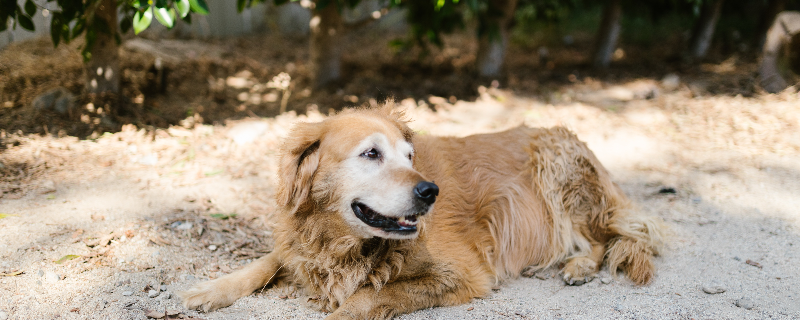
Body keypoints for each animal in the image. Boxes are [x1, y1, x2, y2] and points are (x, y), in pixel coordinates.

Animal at [180, 105, 664, 318]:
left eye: (410, 156)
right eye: (371, 154)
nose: (431, 191)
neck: (343, 242)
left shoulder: (463, 273)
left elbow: (371, 295)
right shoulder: (301, 244)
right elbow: (266, 261)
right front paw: (211, 290)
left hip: (556, 168)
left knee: (602, 237)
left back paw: (579, 264)